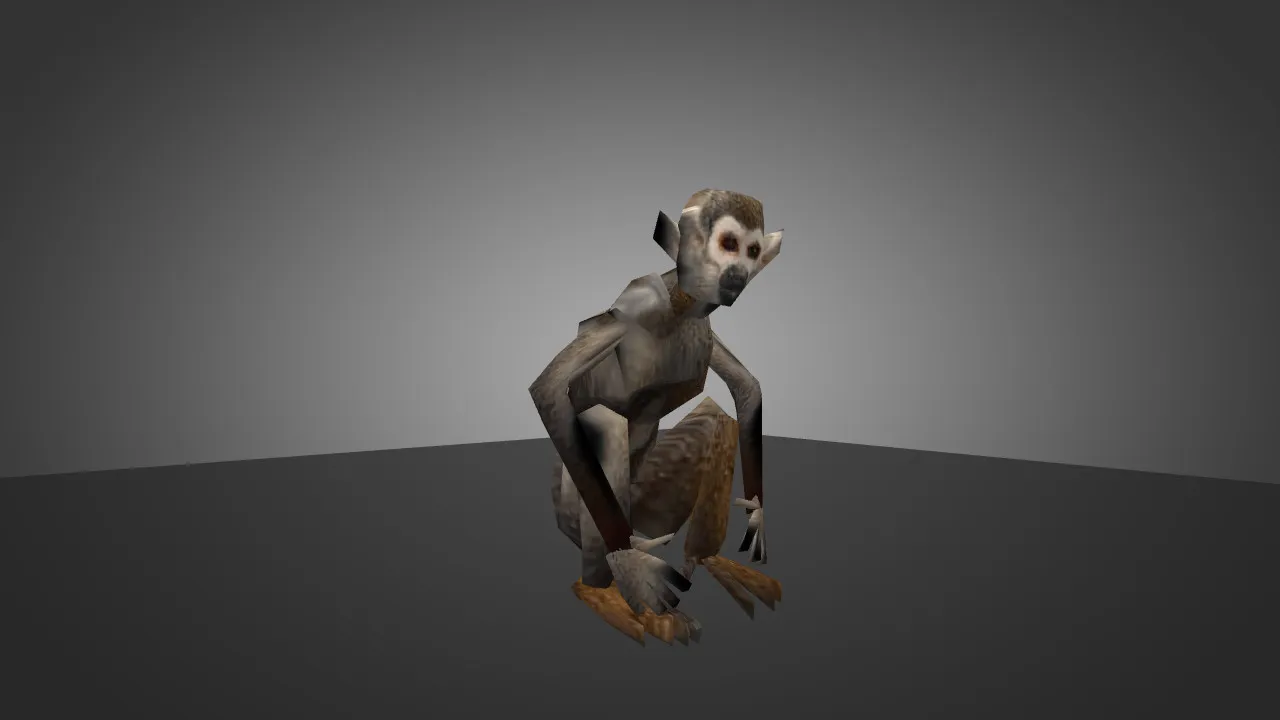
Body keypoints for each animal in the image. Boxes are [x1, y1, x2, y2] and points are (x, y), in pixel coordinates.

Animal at [528, 189, 784, 645]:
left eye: (752, 251)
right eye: (729, 244)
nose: (738, 272)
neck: (684, 306)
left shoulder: (703, 325)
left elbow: (747, 389)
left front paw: (757, 512)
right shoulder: (640, 302)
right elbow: (550, 389)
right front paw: (628, 564)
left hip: (652, 509)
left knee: (717, 419)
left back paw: (708, 558)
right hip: (577, 511)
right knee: (606, 422)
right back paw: (603, 589)